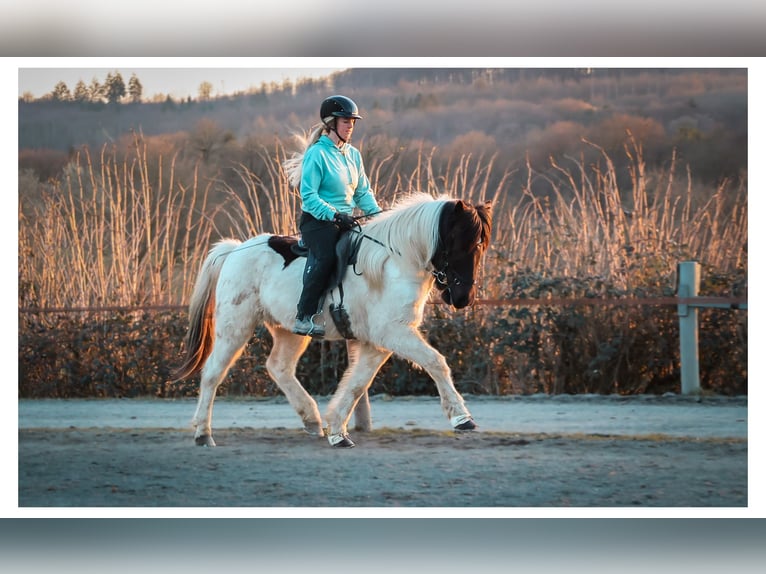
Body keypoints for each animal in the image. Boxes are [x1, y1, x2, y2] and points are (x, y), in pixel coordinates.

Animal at [171, 192, 493, 448]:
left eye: (481, 245)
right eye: (460, 242)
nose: (463, 298)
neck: (395, 263)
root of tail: (234, 250)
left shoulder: (379, 342)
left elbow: (357, 384)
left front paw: (337, 431)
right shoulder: (394, 333)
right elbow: (436, 362)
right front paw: (462, 417)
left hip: (289, 331)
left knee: (279, 367)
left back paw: (312, 420)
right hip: (235, 327)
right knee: (213, 373)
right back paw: (203, 434)